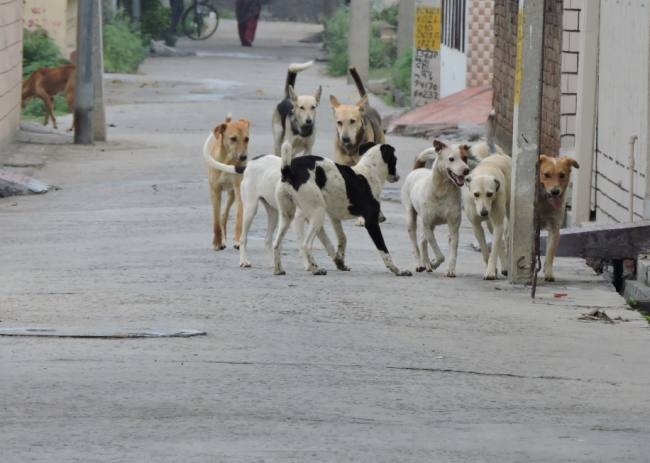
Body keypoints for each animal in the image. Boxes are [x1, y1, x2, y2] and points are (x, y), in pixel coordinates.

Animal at [202, 118, 251, 252]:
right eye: (233, 138)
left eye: (247, 139)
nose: (243, 157)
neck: (227, 161)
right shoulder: (215, 191)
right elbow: (216, 221)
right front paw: (217, 243)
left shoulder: (238, 189)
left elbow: (239, 217)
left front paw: (238, 240)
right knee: (221, 216)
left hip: (232, 193)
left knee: (224, 215)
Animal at [272, 141, 410, 278]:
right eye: (395, 159)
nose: (398, 176)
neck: (370, 171)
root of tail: (288, 170)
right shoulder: (371, 222)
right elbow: (384, 251)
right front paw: (398, 270)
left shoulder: (334, 217)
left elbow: (342, 238)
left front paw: (340, 262)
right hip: (317, 213)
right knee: (306, 245)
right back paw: (316, 269)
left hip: (288, 216)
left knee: (276, 244)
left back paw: (278, 269)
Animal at [398, 140, 468, 278]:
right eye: (451, 159)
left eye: (465, 158)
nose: (466, 170)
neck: (442, 190)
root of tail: (417, 169)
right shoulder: (428, 226)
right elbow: (439, 253)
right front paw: (434, 262)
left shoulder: (453, 227)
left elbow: (452, 251)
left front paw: (450, 270)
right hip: (411, 217)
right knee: (415, 243)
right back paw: (420, 264)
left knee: (422, 241)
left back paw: (427, 263)